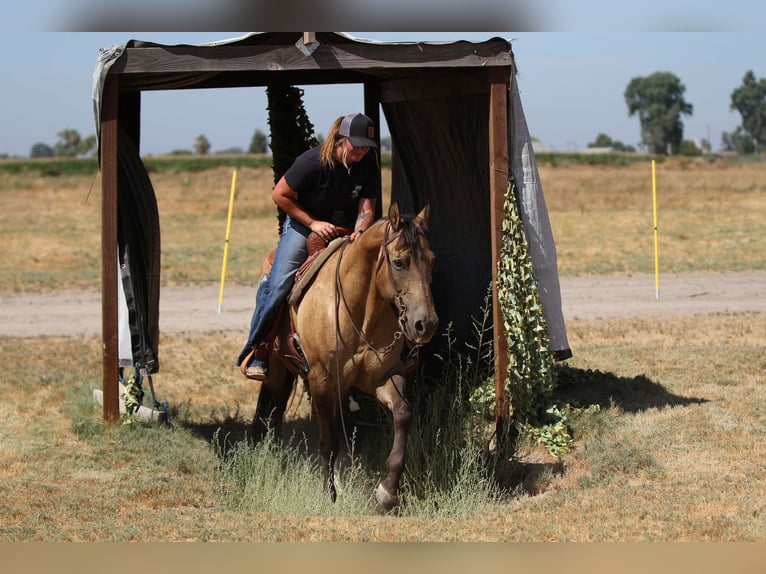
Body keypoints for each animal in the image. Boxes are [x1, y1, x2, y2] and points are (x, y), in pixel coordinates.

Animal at [251, 203, 438, 511]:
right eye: (399, 262)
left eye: (432, 260)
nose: (426, 324)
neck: (357, 308)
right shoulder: (321, 380)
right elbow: (328, 442)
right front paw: (329, 496)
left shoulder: (384, 376)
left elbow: (403, 413)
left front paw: (387, 491)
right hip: (278, 368)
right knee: (271, 410)